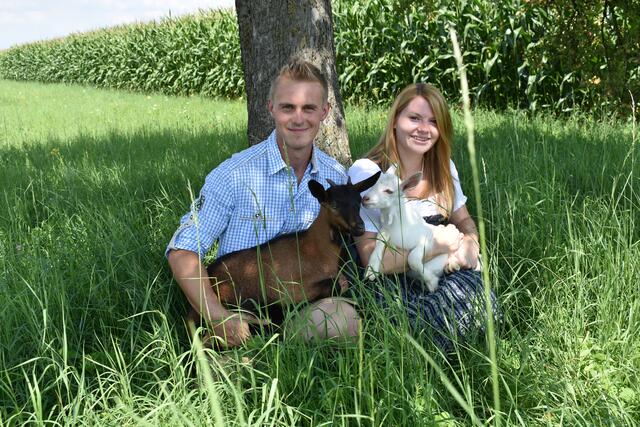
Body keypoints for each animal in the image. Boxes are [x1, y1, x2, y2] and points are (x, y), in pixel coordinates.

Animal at [195, 172, 380, 322]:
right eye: (333, 205)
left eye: (359, 201)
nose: (360, 227)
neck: (317, 249)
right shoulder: (290, 290)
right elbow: (332, 284)